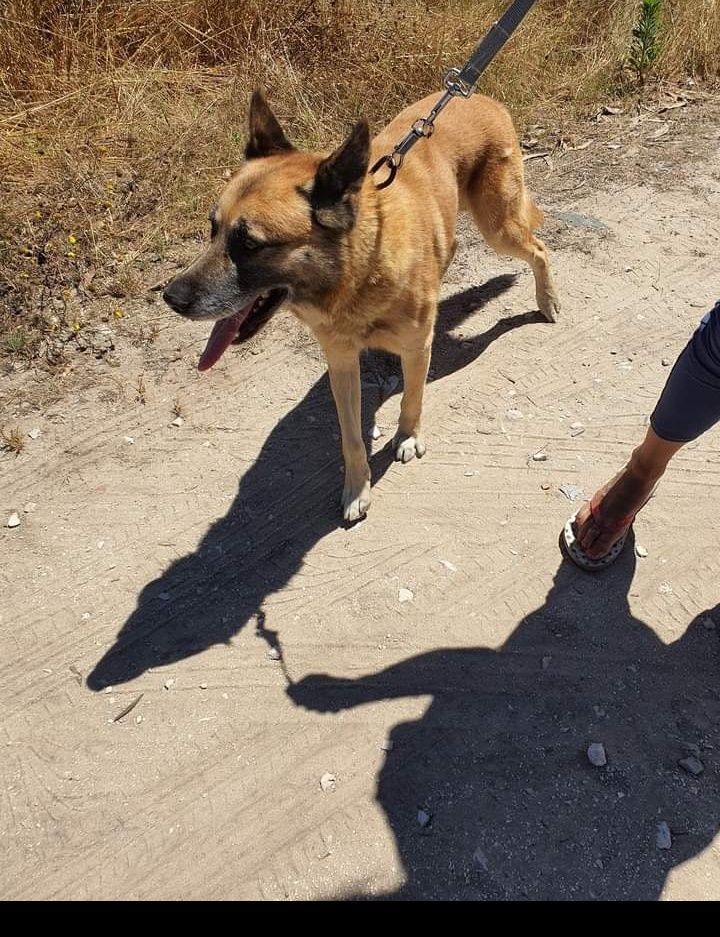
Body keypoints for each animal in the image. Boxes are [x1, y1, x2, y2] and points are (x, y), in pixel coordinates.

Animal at [166, 89, 560, 520]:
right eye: (213, 229)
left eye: (250, 245)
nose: (171, 297)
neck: (360, 271)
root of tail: (482, 97)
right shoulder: (342, 364)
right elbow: (351, 437)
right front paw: (357, 488)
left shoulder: (417, 348)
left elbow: (412, 397)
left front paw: (408, 437)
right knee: (455, 244)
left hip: (497, 228)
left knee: (540, 249)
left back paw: (547, 300)